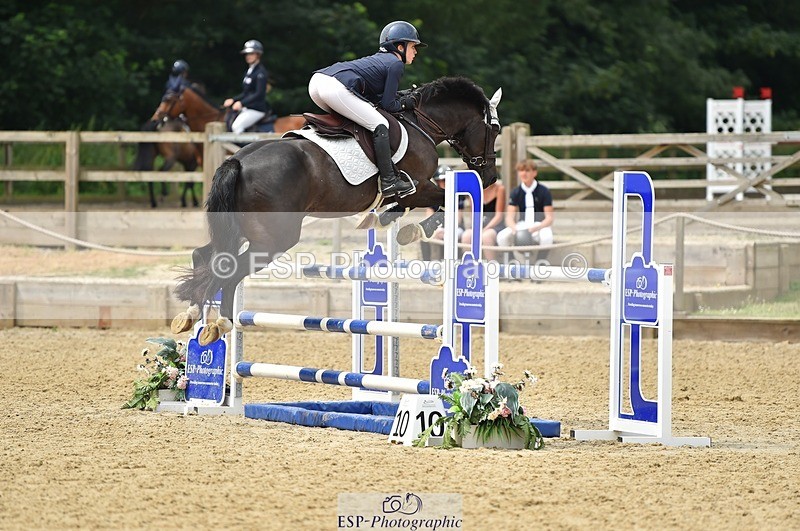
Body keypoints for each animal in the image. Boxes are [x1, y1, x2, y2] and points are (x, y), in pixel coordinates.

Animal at [171, 77, 502, 345]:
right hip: (274, 240)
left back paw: (191, 315)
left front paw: (386, 218)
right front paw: (413, 229)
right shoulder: (419, 185)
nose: (489, 178)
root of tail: (238, 161)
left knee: (204, 255)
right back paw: (221, 323)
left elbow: (403, 205)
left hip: (239, 230)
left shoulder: (413, 190)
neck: (421, 122)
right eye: (495, 130)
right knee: (228, 271)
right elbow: (444, 201)